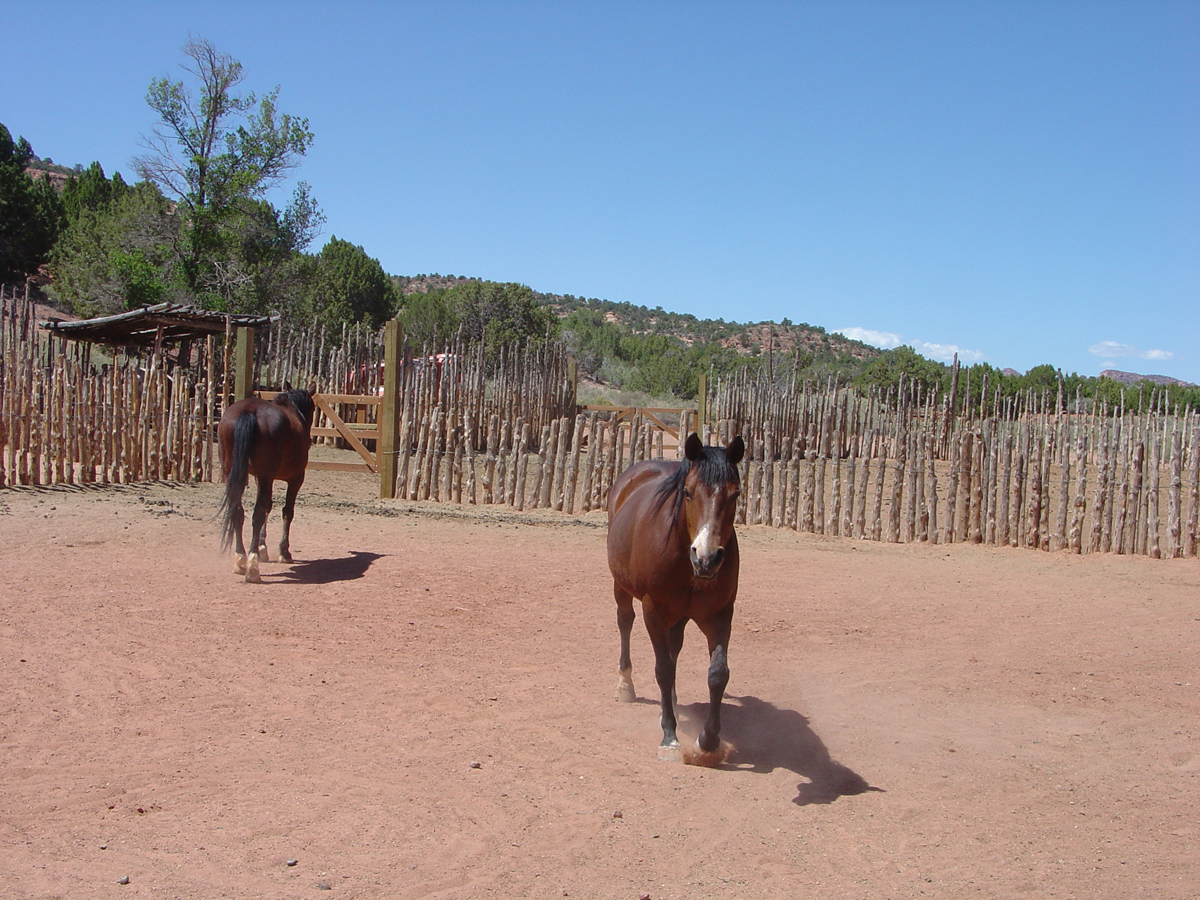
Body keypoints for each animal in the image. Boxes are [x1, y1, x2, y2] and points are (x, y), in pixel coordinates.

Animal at [218, 386, 316, 585]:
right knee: (256, 514)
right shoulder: (295, 478)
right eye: (313, 408)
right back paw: (252, 567)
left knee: (238, 511)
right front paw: (284, 551)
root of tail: (248, 410)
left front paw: (262, 546)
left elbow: (267, 508)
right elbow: (286, 511)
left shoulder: (261, 478)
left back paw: (240, 559)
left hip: (233, 473)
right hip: (266, 476)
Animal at [604, 434, 744, 763]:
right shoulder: (653, 611)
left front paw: (709, 741)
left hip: (680, 615)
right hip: (622, 588)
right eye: (688, 493)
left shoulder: (720, 615)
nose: (707, 558)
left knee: (674, 645)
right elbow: (663, 670)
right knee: (625, 622)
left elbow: (718, 674)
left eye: (735, 495)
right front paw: (669, 737)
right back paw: (626, 686)